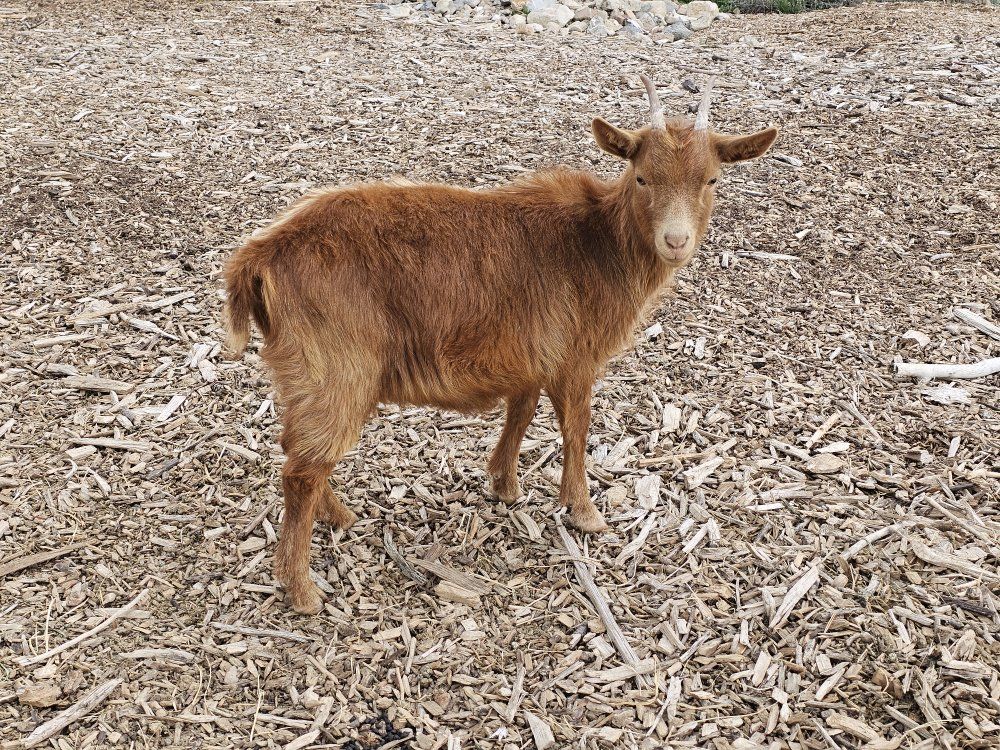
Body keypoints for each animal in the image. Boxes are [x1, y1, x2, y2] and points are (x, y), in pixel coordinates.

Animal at [224, 76, 778, 613]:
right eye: (642, 177)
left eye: (711, 180)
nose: (675, 241)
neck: (597, 239)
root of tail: (259, 255)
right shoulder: (575, 356)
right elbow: (576, 428)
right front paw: (584, 511)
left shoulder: (529, 351)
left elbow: (522, 411)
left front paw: (504, 485)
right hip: (337, 366)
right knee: (302, 470)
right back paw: (302, 590)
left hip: (305, 371)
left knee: (296, 449)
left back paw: (339, 516)